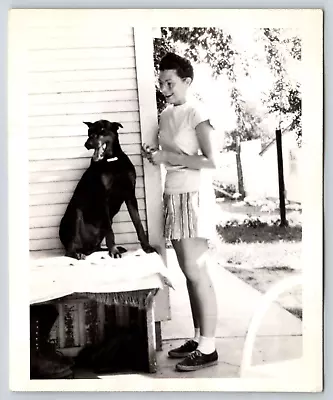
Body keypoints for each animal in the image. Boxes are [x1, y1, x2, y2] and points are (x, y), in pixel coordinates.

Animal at [58, 119, 156, 260]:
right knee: (70, 249)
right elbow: (110, 230)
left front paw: (147, 247)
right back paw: (78, 253)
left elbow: (138, 223)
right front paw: (114, 251)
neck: (112, 160)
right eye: (89, 132)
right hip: (76, 214)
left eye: (102, 130)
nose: (87, 144)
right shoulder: (104, 198)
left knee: (96, 247)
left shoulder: (130, 194)